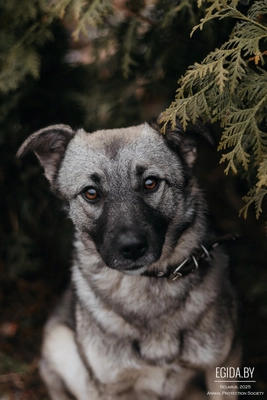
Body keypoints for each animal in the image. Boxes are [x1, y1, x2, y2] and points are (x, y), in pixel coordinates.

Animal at [17, 121, 242, 400]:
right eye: (91, 193)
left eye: (150, 183)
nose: (131, 247)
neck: (150, 285)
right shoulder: (106, 386)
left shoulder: (223, 365)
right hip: (59, 344)